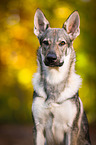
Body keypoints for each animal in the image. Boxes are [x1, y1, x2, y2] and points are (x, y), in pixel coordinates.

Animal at [31, 8, 91, 144]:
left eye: (62, 43)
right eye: (45, 42)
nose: (51, 58)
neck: (54, 80)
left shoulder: (71, 130)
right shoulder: (38, 128)